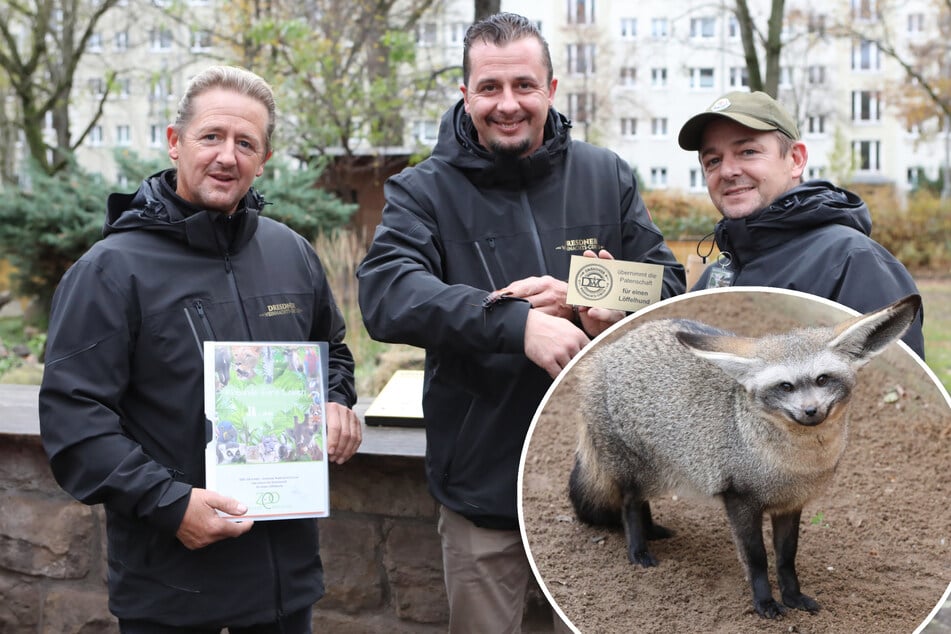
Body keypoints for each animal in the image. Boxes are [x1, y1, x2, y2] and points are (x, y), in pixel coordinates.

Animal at [572, 294, 924, 616]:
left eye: (822, 380)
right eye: (785, 387)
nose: (811, 411)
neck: (796, 465)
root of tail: (604, 353)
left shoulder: (790, 505)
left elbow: (786, 558)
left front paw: (793, 597)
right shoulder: (739, 500)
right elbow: (757, 559)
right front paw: (765, 603)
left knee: (637, 501)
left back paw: (652, 532)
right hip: (638, 469)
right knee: (629, 504)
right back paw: (638, 549)